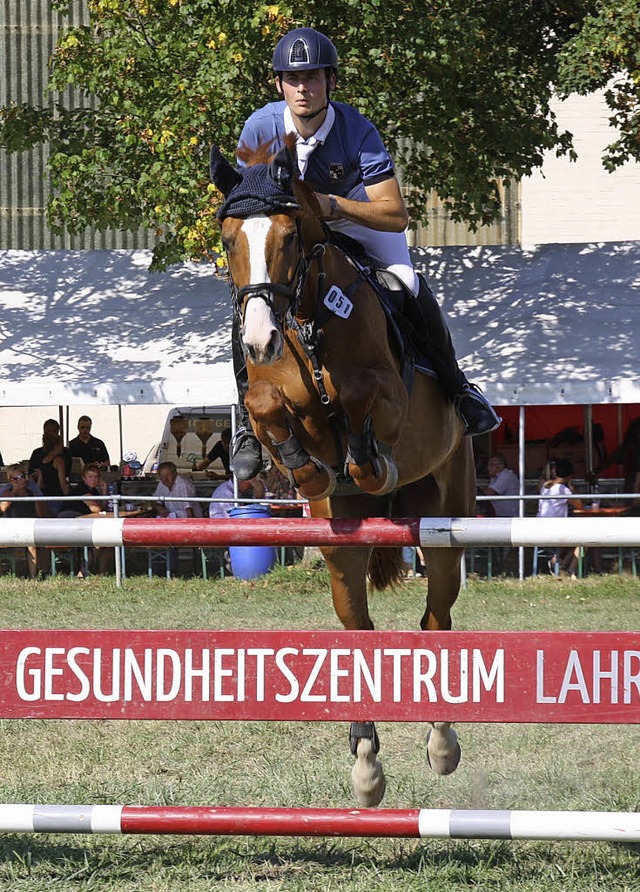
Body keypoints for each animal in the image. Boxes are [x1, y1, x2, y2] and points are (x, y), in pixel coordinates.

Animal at [210, 141, 476, 808]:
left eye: (290, 234)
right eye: (228, 239)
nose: (259, 338)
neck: (307, 315)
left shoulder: (389, 395)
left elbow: (357, 393)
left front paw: (366, 457)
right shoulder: (271, 390)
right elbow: (269, 404)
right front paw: (306, 470)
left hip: (445, 516)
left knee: (437, 620)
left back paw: (442, 745)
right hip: (342, 545)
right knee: (358, 628)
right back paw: (366, 763)